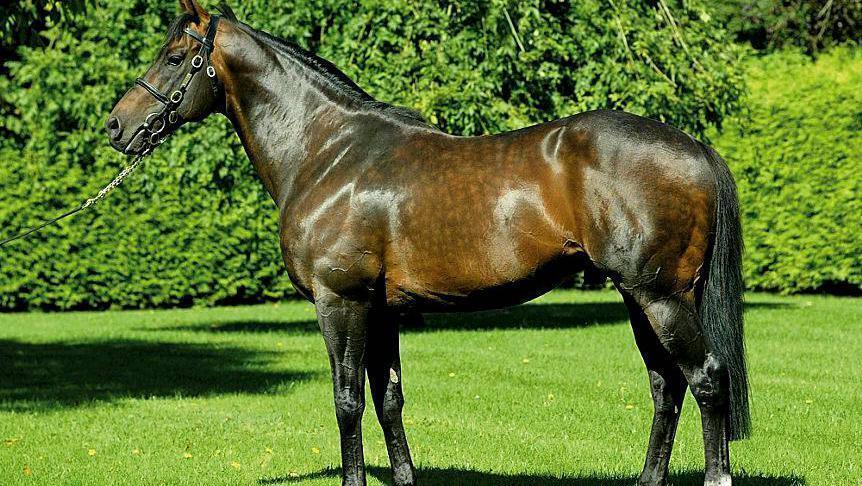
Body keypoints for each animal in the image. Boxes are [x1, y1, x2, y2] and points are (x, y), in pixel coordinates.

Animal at [105, 2, 750, 485]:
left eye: (175, 56)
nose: (115, 126)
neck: (327, 151)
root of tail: (693, 146)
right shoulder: (381, 310)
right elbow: (388, 401)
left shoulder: (341, 302)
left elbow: (347, 402)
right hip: (639, 297)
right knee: (667, 387)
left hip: (660, 296)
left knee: (706, 378)